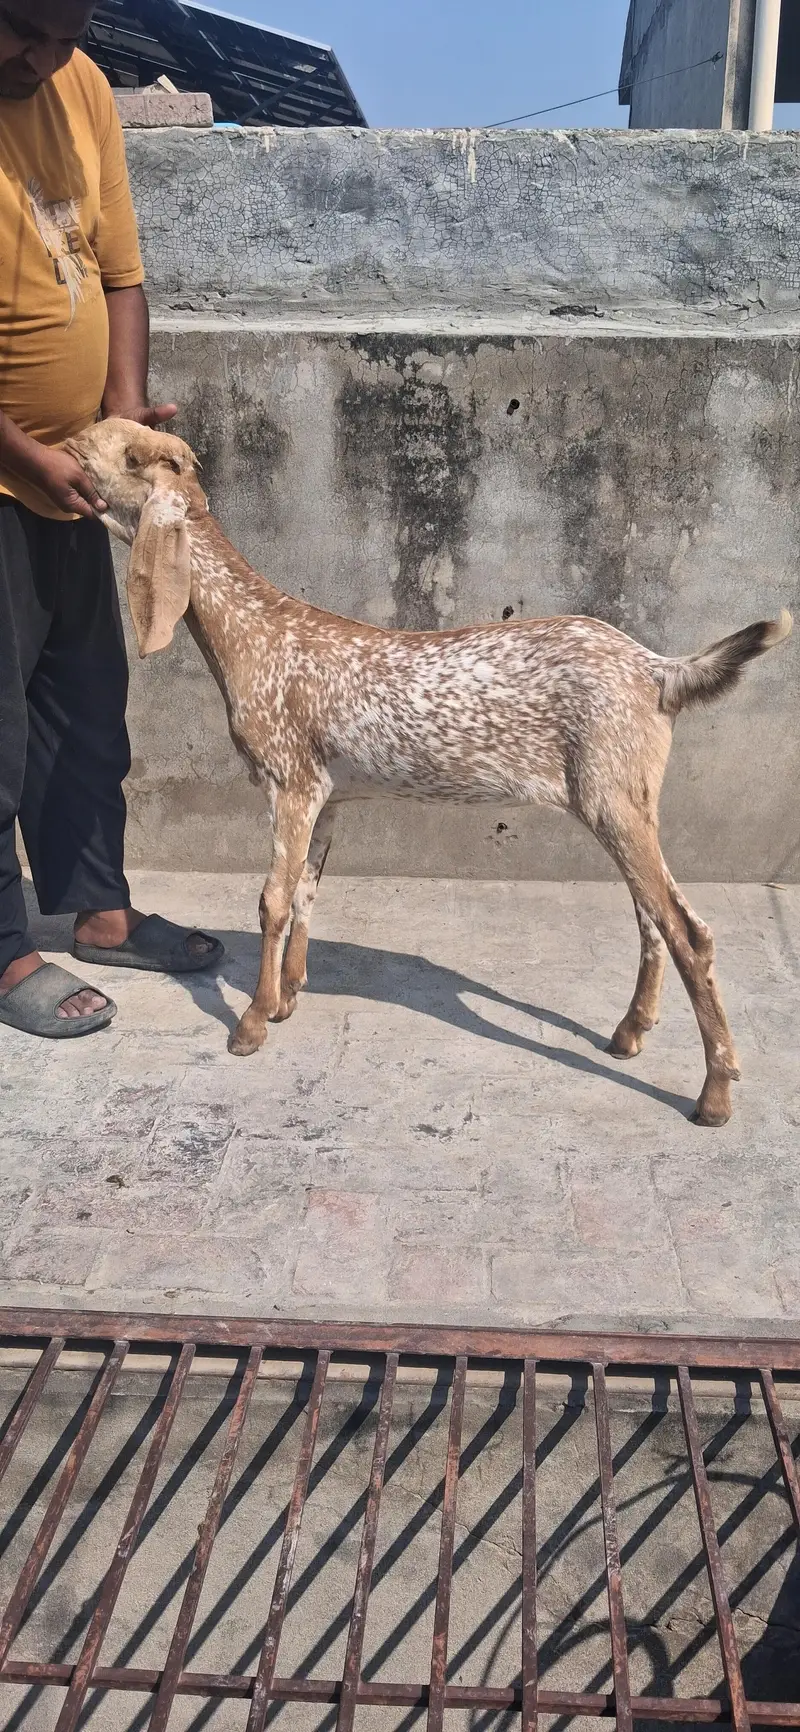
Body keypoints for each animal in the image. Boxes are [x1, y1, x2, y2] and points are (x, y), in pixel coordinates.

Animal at [68, 418, 792, 1126]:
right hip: (629, 799)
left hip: (612, 798)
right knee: (652, 918)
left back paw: (714, 1094)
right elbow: (305, 891)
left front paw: (251, 1022)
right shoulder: (329, 795)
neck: (256, 634)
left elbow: (271, 900)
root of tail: (655, 669)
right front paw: (290, 995)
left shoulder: (289, 782)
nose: (69, 446)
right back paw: (629, 1033)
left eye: (127, 454)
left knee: (688, 931)